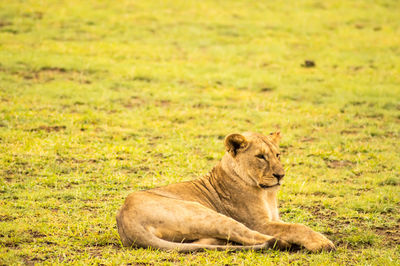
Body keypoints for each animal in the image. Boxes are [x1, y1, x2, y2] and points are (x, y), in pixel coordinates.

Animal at [115, 132, 334, 252]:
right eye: (261, 157)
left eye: (278, 155)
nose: (280, 175)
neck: (267, 194)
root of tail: (125, 219)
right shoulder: (259, 223)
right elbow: (296, 227)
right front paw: (321, 242)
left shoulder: (274, 219)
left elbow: (293, 225)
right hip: (204, 212)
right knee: (251, 236)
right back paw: (284, 243)